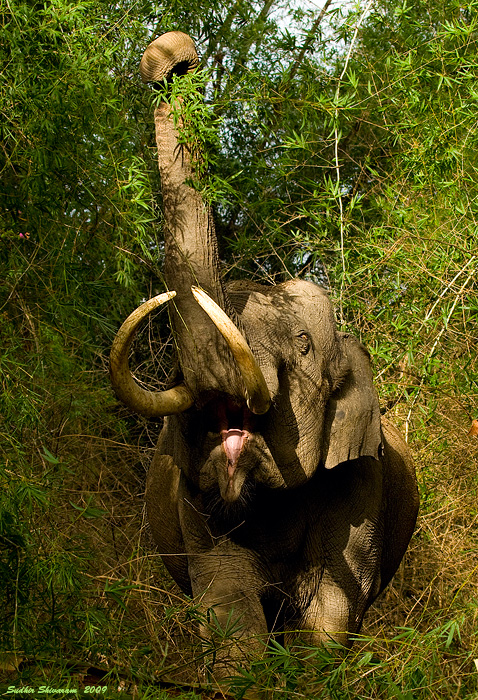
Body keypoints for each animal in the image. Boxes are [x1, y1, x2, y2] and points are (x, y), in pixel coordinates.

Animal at [108, 31, 418, 672]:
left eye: (302, 346)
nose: (171, 59)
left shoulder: (363, 484)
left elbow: (330, 610)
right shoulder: (196, 510)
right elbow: (227, 604)